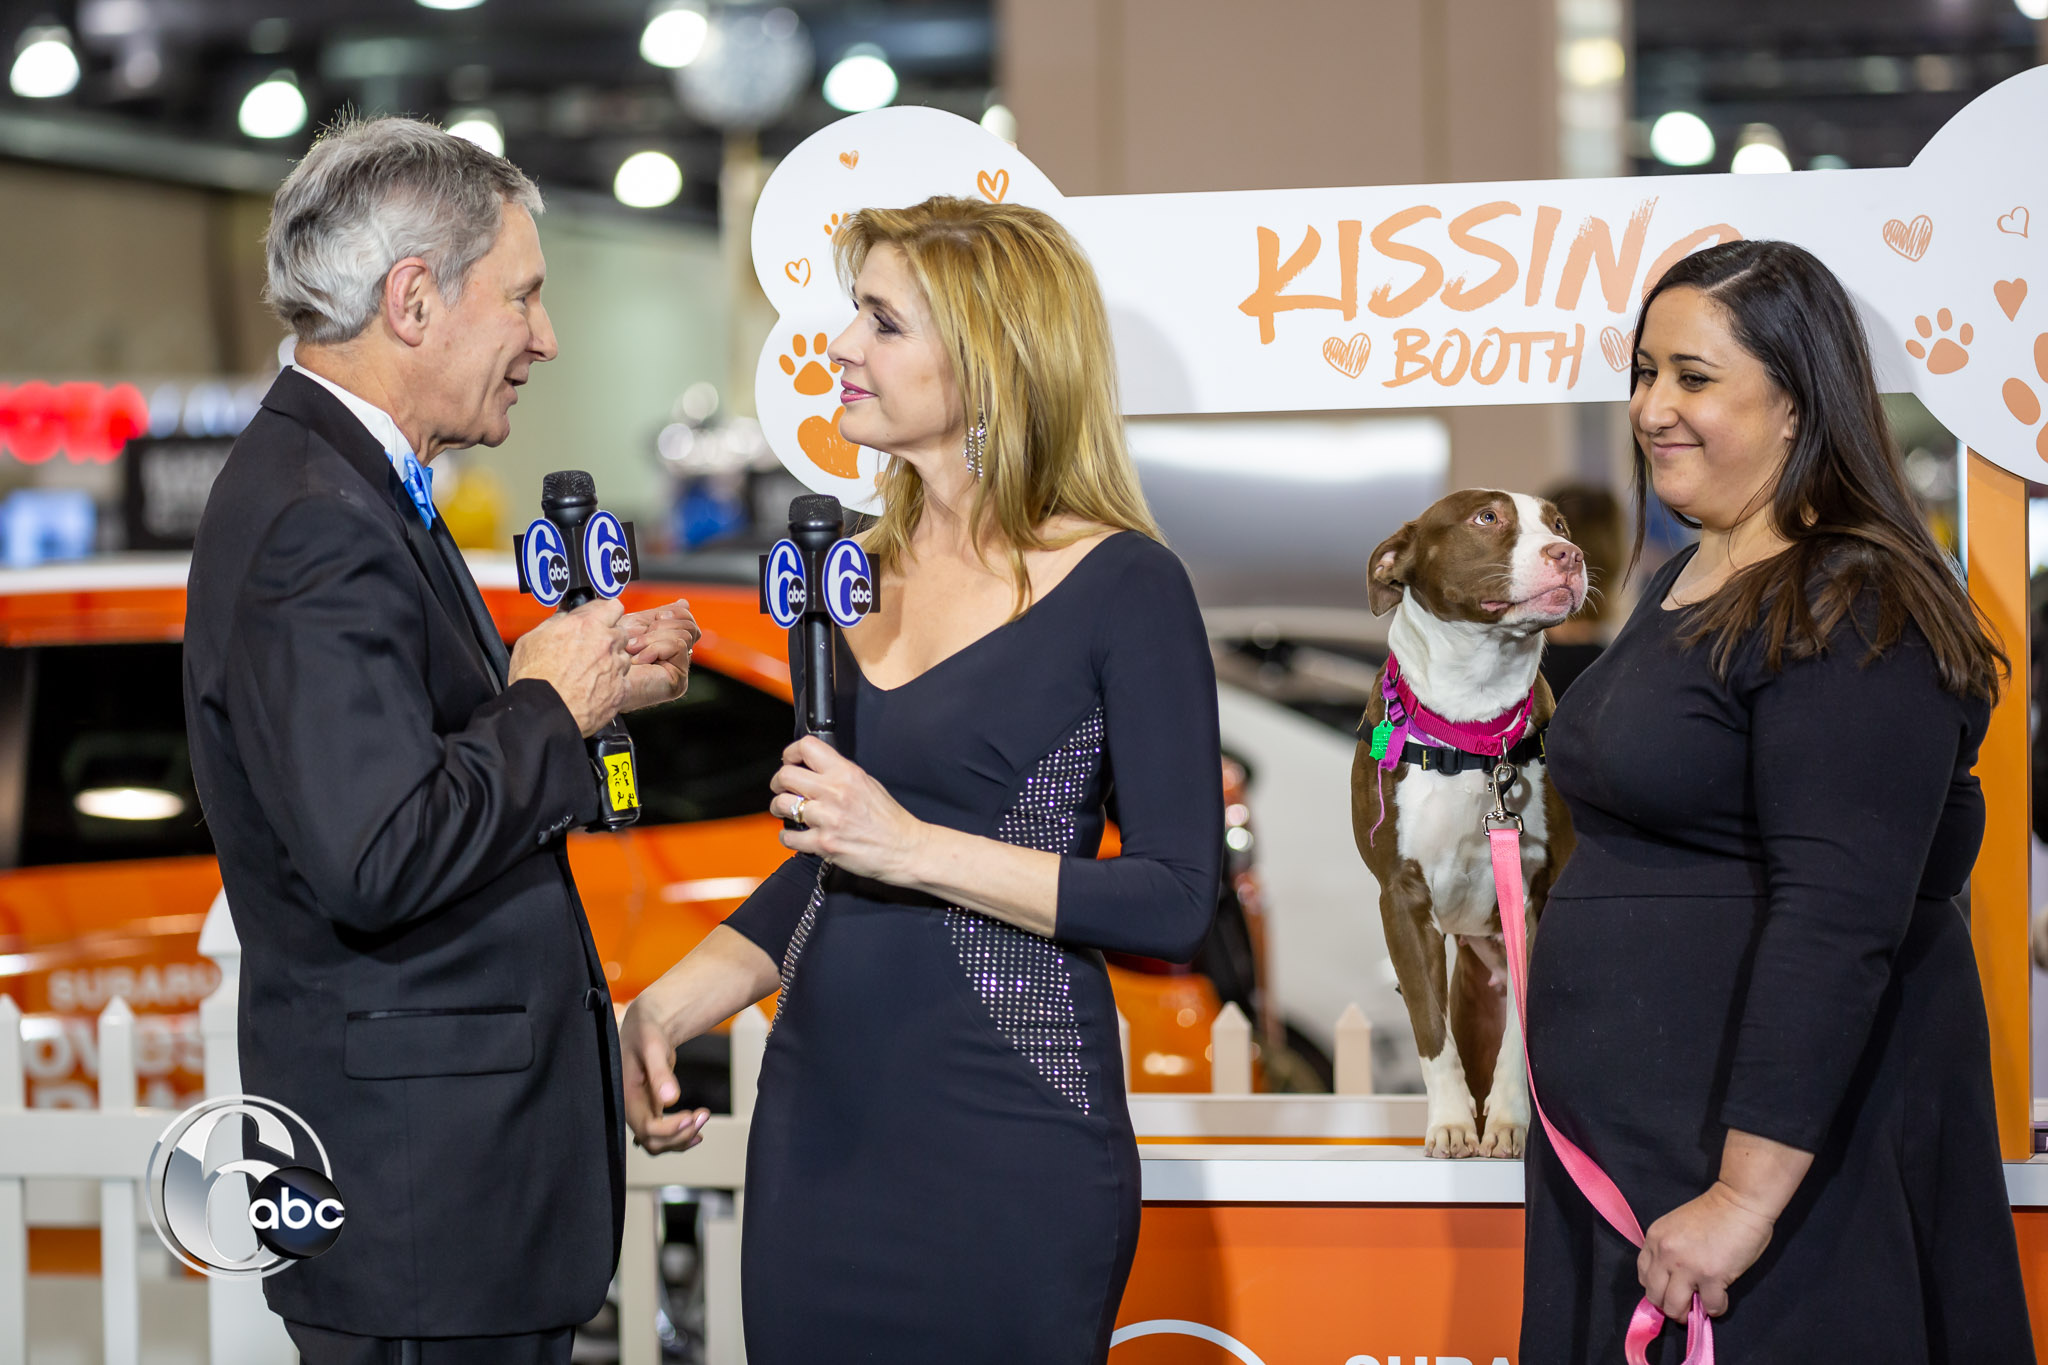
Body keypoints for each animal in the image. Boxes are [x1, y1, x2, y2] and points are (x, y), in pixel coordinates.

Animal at [1351, 485, 1589, 1162]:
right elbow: (1430, 1027)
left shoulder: (1536, 896)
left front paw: (1509, 1123)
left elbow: (1519, 1038)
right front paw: (1453, 1123)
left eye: (1559, 524)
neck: (1473, 725)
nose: (1569, 554)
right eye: (1487, 518)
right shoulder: (1401, 901)